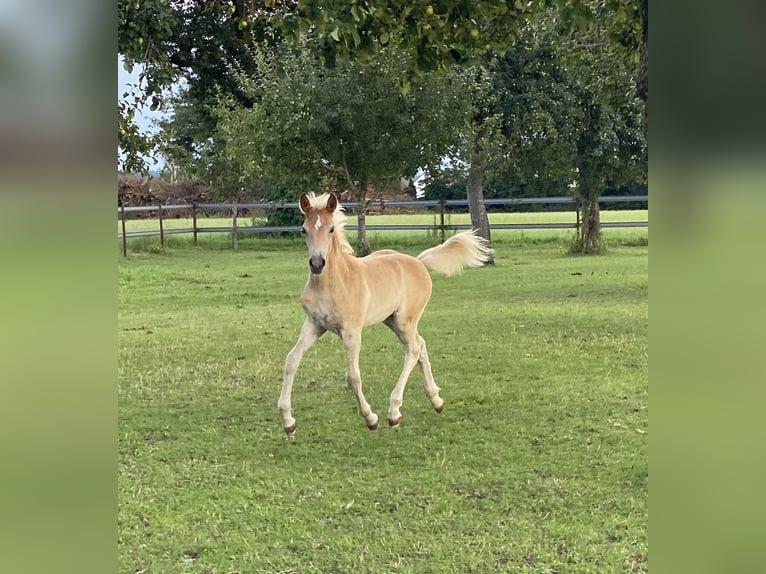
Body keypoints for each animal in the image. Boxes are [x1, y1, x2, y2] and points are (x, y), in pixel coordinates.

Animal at [280, 194, 496, 436]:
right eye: (303, 229)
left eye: (331, 229)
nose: (317, 264)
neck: (334, 282)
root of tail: (418, 261)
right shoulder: (314, 325)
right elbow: (291, 360)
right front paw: (288, 422)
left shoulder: (351, 331)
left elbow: (352, 377)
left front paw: (371, 418)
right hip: (391, 320)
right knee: (421, 344)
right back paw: (436, 401)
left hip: (404, 321)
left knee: (413, 349)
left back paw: (394, 413)